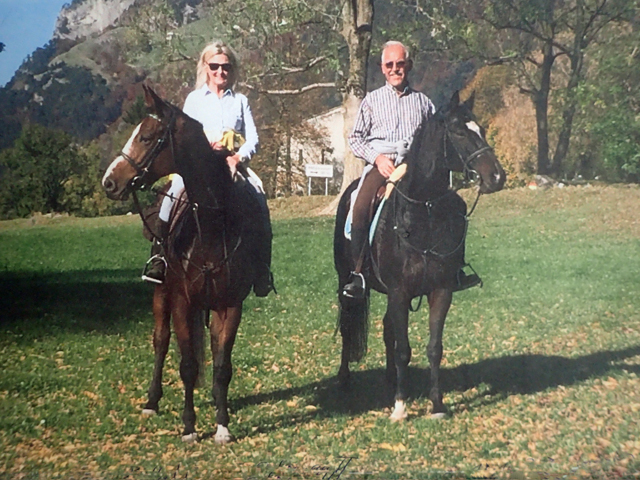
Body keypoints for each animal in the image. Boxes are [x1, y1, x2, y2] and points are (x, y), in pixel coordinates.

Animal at [100, 85, 270, 442]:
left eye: (146, 137)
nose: (109, 182)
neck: (210, 227)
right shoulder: (181, 301)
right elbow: (188, 365)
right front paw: (190, 427)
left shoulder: (230, 305)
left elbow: (222, 366)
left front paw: (222, 425)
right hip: (161, 295)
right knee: (161, 341)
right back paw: (152, 401)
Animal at [336, 90, 504, 420]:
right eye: (459, 131)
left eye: (481, 129)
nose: (497, 177)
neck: (422, 213)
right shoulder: (400, 292)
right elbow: (404, 349)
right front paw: (400, 407)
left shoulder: (440, 290)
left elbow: (433, 347)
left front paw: (436, 404)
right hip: (346, 281)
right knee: (349, 325)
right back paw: (345, 378)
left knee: (388, 329)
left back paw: (391, 379)